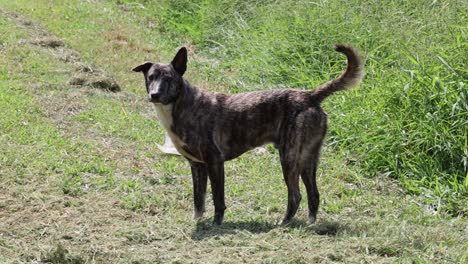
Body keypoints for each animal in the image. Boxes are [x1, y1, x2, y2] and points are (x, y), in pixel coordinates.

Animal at [133, 43, 364, 225]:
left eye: (169, 79)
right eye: (151, 77)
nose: (154, 94)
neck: (182, 104)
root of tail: (310, 95)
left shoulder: (215, 162)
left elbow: (218, 199)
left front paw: (217, 224)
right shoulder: (197, 166)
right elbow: (198, 198)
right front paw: (197, 221)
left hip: (289, 159)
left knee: (295, 195)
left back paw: (283, 223)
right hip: (307, 160)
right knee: (313, 194)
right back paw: (309, 223)